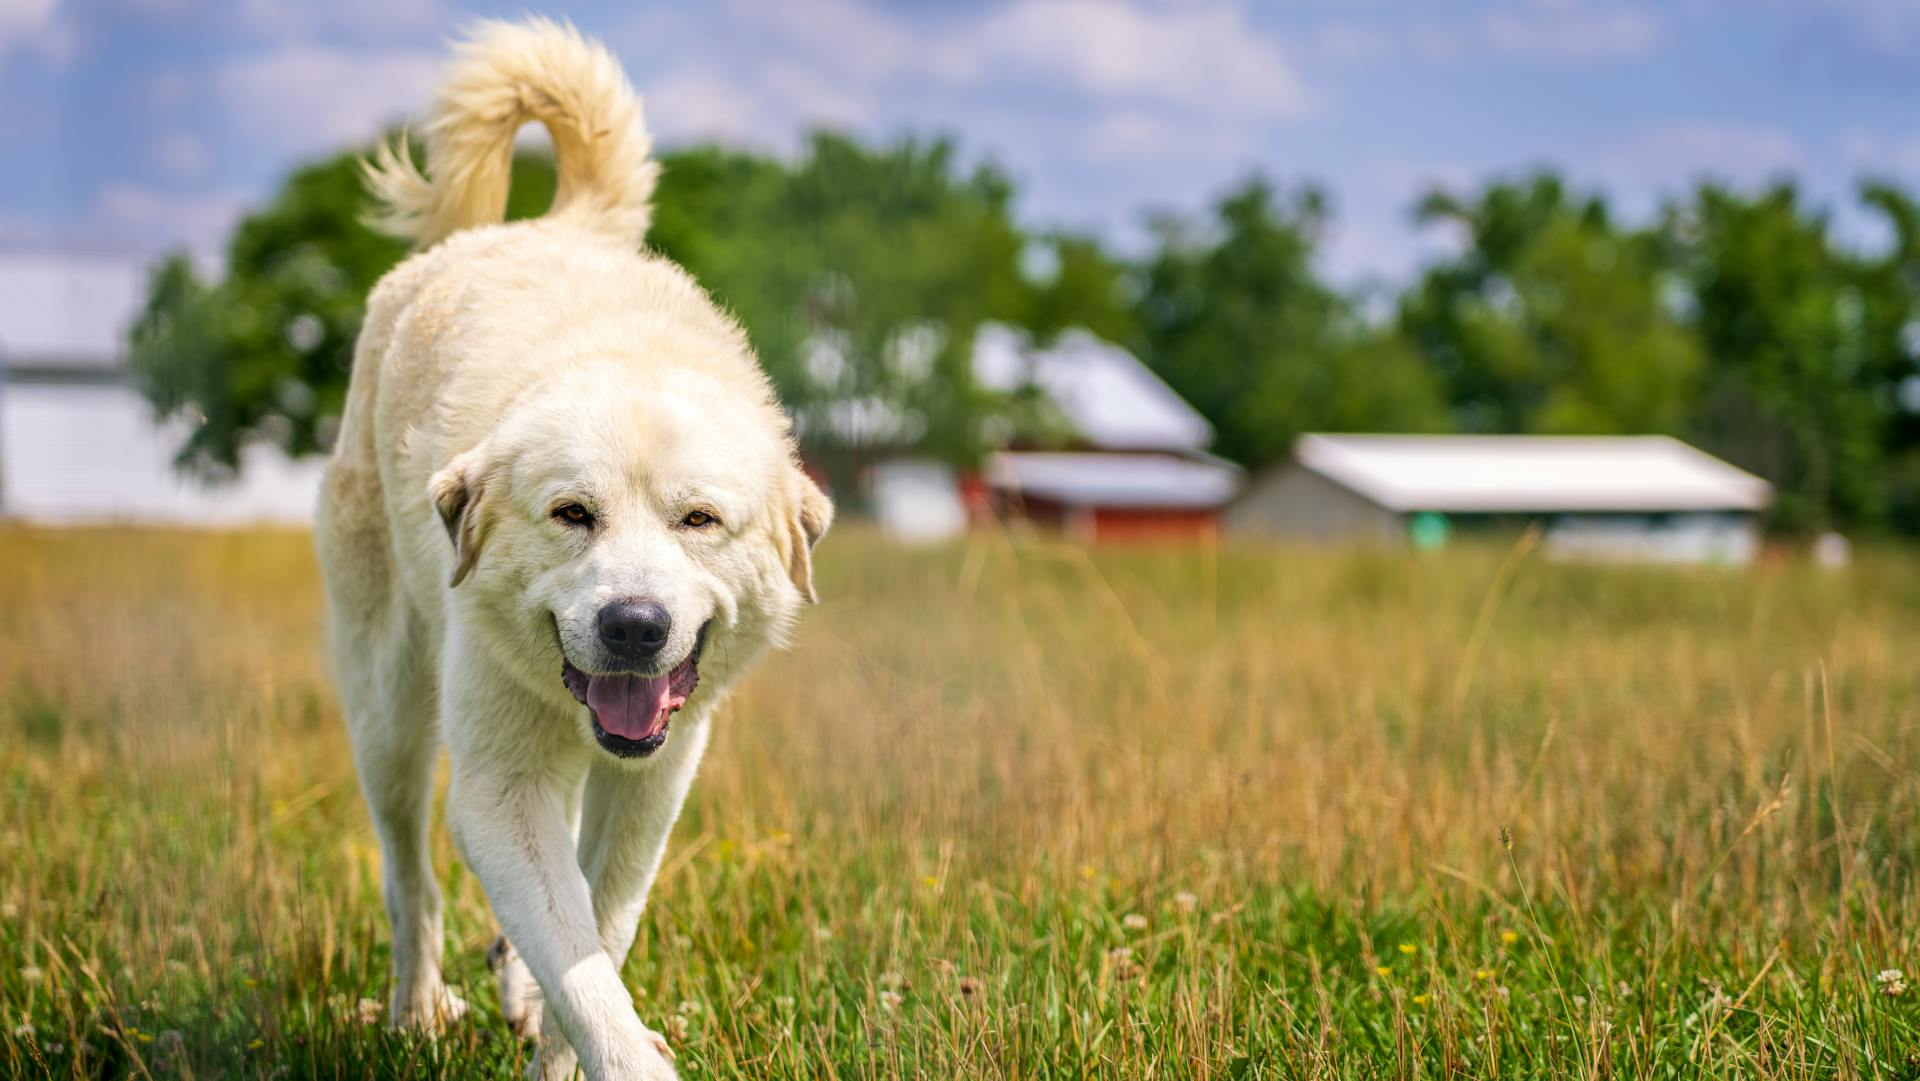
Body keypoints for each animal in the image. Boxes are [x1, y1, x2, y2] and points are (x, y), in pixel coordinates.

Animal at [312, 19, 825, 1081]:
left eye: (698, 520)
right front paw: (616, 1053)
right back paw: (417, 1009)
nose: (635, 626)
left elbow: (599, 928)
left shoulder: (655, 779)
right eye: (572, 513)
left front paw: (553, 1036)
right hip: (389, 705)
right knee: (408, 871)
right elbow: (578, 957)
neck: (622, 352)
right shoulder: (501, 786)